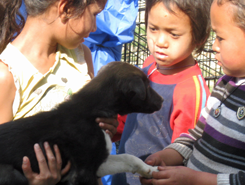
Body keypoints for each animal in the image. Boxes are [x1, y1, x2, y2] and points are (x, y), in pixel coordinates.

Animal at [0, 61, 163, 185]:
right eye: (147, 86)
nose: (162, 100)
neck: (92, 111)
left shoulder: (99, 164)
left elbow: (128, 158)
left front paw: (151, 169)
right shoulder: (82, 173)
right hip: (11, 174)